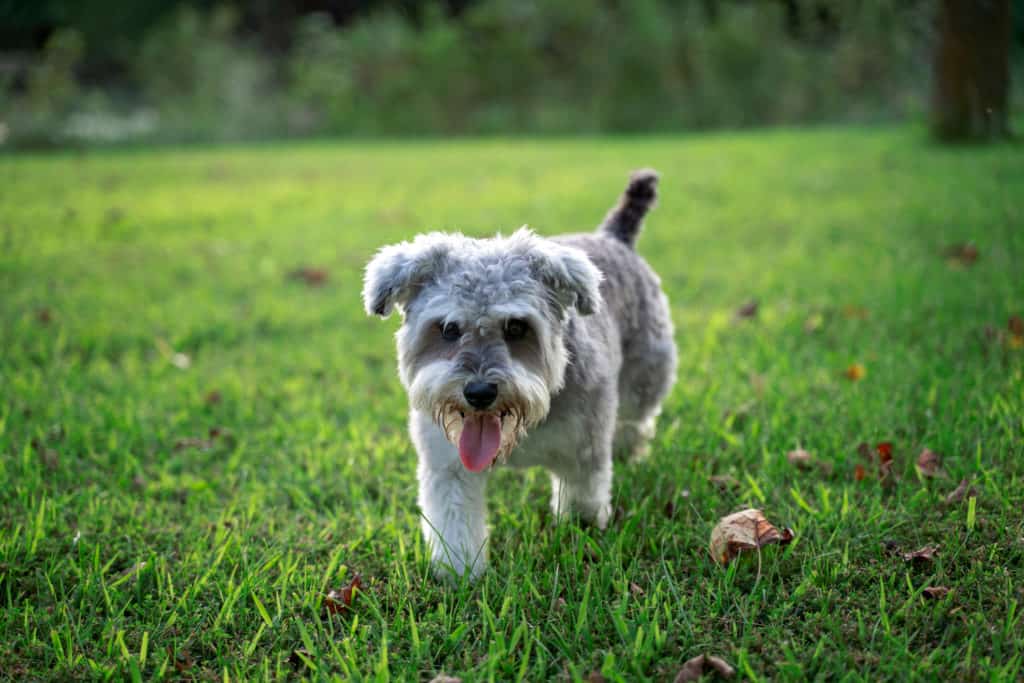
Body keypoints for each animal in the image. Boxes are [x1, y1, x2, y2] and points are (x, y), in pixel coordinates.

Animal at [364, 171, 675, 581]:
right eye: (447, 328)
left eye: (516, 327)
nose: (479, 392)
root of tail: (613, 236)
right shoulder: (448, 466)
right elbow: (455, 524)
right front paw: (459, 575)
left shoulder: (583, 453)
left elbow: (582, 502)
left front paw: (580, 539)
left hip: (646, 379)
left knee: (636, 421)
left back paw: (627, 451)